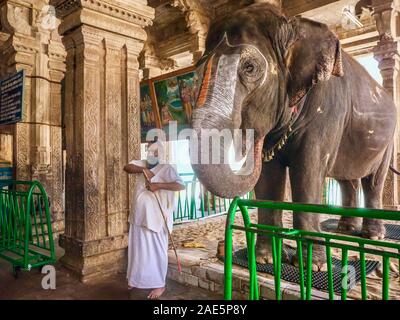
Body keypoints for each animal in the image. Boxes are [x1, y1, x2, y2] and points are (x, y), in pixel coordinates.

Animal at [191, 3, 396, 272]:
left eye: (250, 68)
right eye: (195, 74)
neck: (292, 26)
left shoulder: (327, 108)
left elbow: (308, 170)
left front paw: (314, 267)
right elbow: (268, 177)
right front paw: (265, 259)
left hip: (388, 140)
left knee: (372, 181)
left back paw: (373, 235)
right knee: (347, 179)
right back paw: (345, 230)